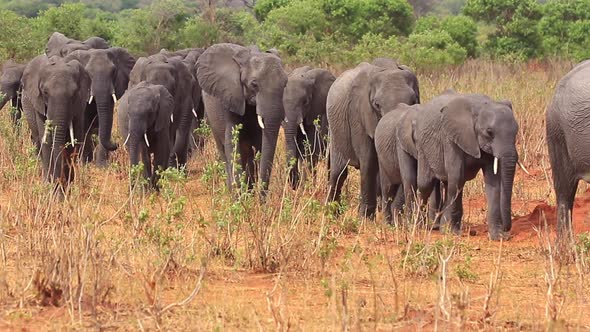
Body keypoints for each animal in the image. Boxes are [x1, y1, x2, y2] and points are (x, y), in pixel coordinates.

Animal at [21, 55, 91, 188]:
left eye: (74, 94)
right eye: (45, 92)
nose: (59, 182)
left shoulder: (79, 106)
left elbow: (74, 140)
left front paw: (67, 188)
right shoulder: (39, 104)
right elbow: (47, 141)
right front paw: (50, 187)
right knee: (38, 141)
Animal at [198, 42, 290, 192]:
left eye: (285, 84)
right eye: (254, 84)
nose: (262, 196)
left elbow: (258, 143)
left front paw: (249, 193)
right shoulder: (230, 96)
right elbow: (232, 143)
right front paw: (239, 195)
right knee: (223, 149)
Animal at [328, 61, 420, 220]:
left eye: (413, 101)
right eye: (376, 105)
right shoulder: (358, 114)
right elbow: (369, 160)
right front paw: (364, 218)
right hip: (336, 134)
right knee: (338, 173)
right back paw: (331, 214)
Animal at [416, 92, 524, 240]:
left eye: (516, 131)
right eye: (489, 132)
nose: (507, 230)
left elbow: (493, 183)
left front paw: (498, 237)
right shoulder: (451, 139)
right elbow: (456, 177)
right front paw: (453, 234)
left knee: (450, 185)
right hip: (423, 149)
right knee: (426, 185)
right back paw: (420, 226)